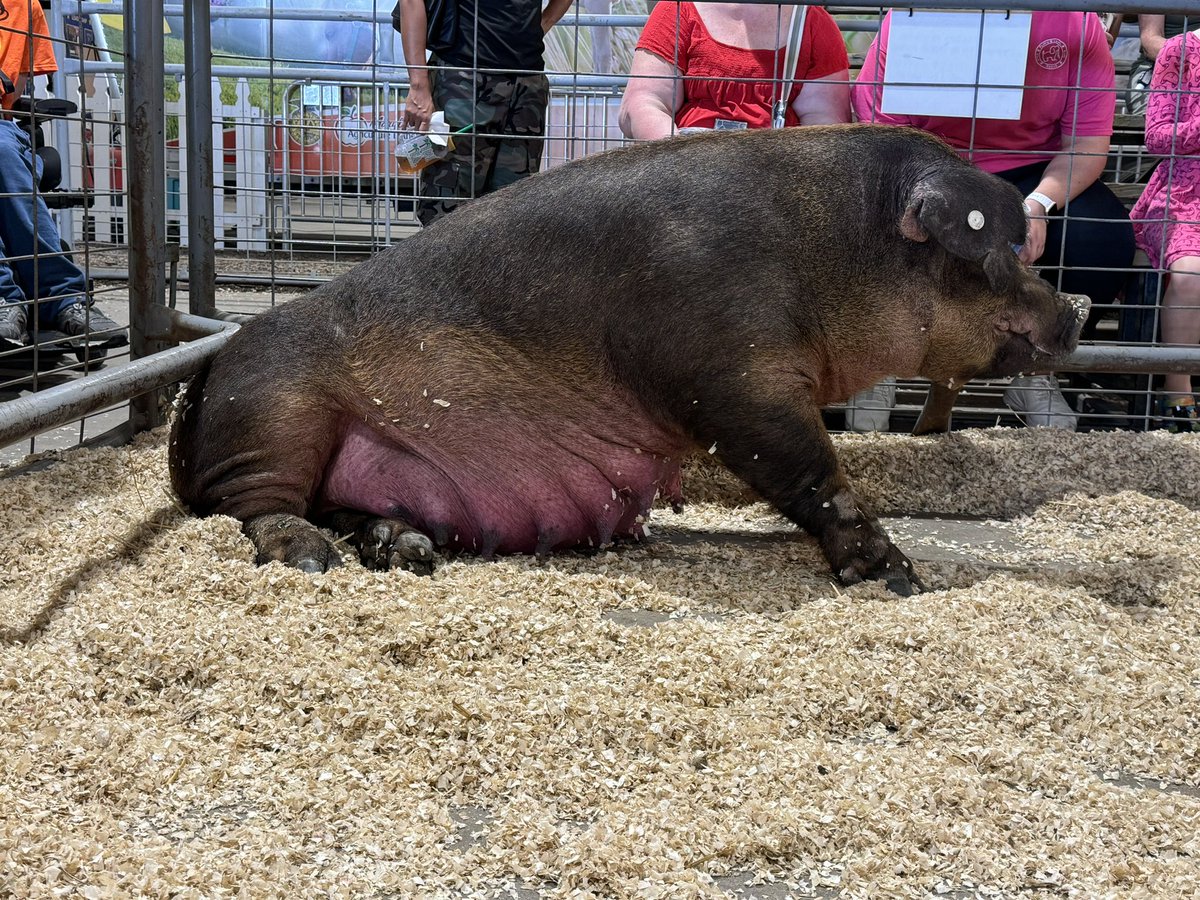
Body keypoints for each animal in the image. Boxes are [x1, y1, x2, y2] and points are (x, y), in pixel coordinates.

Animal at [169, 124, 1089, 595]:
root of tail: (202, 376)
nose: (1075, 311)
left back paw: (408, 548)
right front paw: (899, 577)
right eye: (997, 253)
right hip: (276, 409)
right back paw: (309, 558)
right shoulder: (728, 375)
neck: (825, 250)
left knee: (342, 508)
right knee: (255, 508)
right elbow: (809, 471)